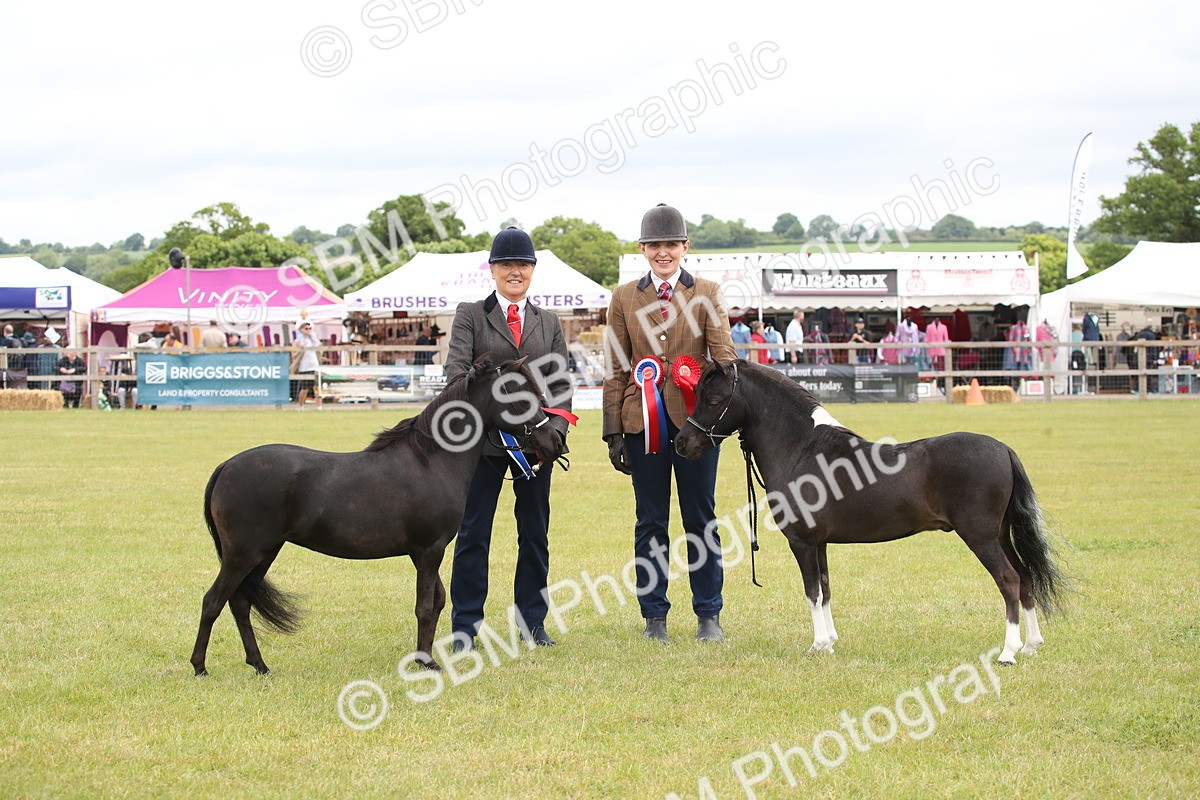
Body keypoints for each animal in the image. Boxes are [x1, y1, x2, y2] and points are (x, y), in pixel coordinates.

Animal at [190, 355, 566, 676]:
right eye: (522, 397)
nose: (555, 442)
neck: (431, 460)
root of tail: (227, 466)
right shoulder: (429, 551)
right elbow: (425, 605)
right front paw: (426, 662)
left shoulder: (426, 553)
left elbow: (438, 600)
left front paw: (426, 656)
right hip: (243, 554)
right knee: (213, 601)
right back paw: (200, 666)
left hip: (264, 553)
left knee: (240, 602)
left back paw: (259, 664)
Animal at [674, 360, 1067, 665]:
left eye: (713, 399)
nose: (681, 443)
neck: (801, 448)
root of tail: (1003, 450)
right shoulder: (820, 543)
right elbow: (826, 589)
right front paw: (830, 643)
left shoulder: (802, 542)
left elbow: (811, 592)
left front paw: (817, 645)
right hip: (1000, 534)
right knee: (1026, 578)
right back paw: (1031, 646)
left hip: (981, 537)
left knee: (1009, 580)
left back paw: (1008, 652)